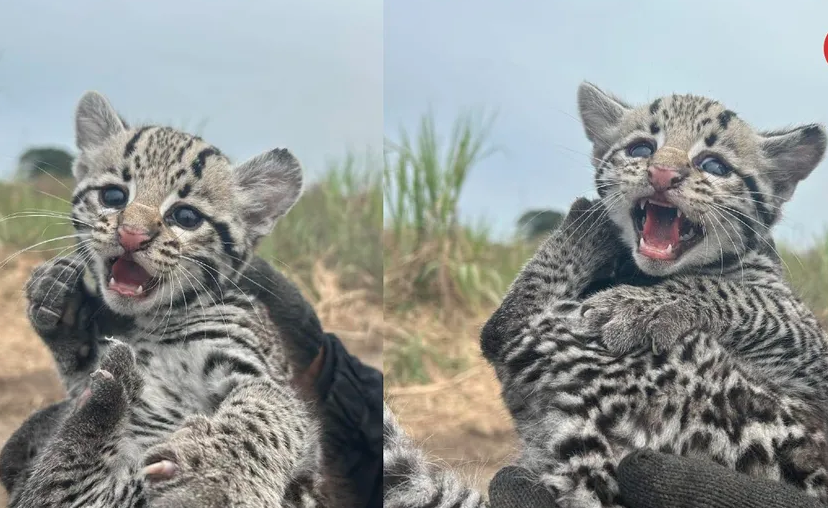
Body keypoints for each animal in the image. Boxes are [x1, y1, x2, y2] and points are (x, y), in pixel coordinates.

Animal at [10, 91, 326, 508]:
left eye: (186, 217)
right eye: (113, 196)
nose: (131, 234)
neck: (150, 322)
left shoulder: (266, 378)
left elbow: (266, 412)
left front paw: (216, 478)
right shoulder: (85, 377)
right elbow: (80, 374)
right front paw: (60, 305)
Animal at [478, 81, 828, 506]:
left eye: (714, 166)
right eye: (641, 149)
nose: (662, 174)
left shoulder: (809, 344)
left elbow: (736, 292)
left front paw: (637, 305)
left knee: (504, 327)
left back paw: (584, 225)